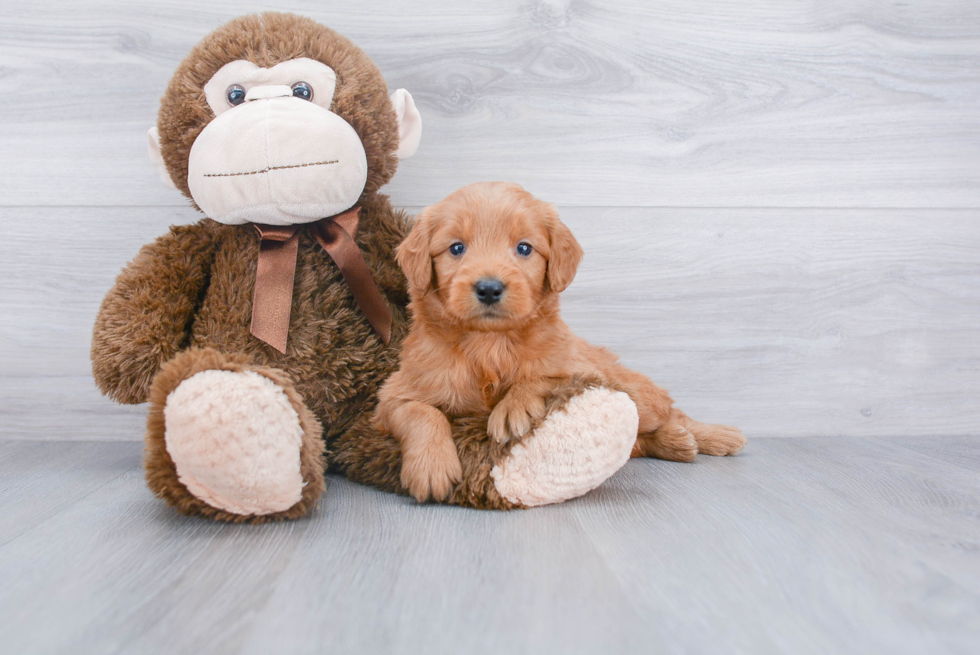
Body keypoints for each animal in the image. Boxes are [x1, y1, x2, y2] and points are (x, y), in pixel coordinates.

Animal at [374, 181, 744, 502]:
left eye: (524, 248)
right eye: (456, 248)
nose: (489, 288)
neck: (490, 344)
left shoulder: (580, 368)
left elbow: (544, 375)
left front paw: (515, 405)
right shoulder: (393, 395)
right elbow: (421, 413)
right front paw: (431, 466)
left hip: (636, 391)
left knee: (669, 414)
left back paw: (711, 435)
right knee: (639, 441)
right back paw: (676, 442)